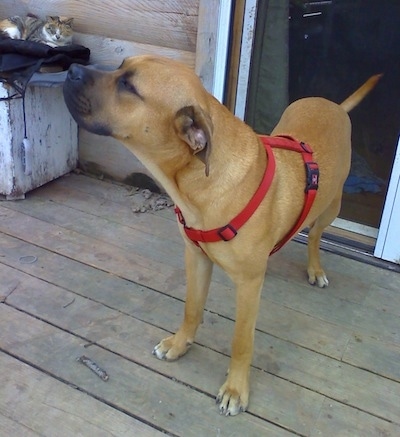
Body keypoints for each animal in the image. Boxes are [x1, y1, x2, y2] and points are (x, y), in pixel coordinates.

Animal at [63, 56, 382, 414]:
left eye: (128, 86)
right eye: (120, 67)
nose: (72, 69)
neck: (198, 184)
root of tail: (334, 105)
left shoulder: (248, 285)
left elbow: (241, 340)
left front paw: (235, 388)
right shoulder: (197, 257)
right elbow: (191, 308)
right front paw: (179, 344)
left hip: (332, 205)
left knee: (314, 236)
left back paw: (315, 268)